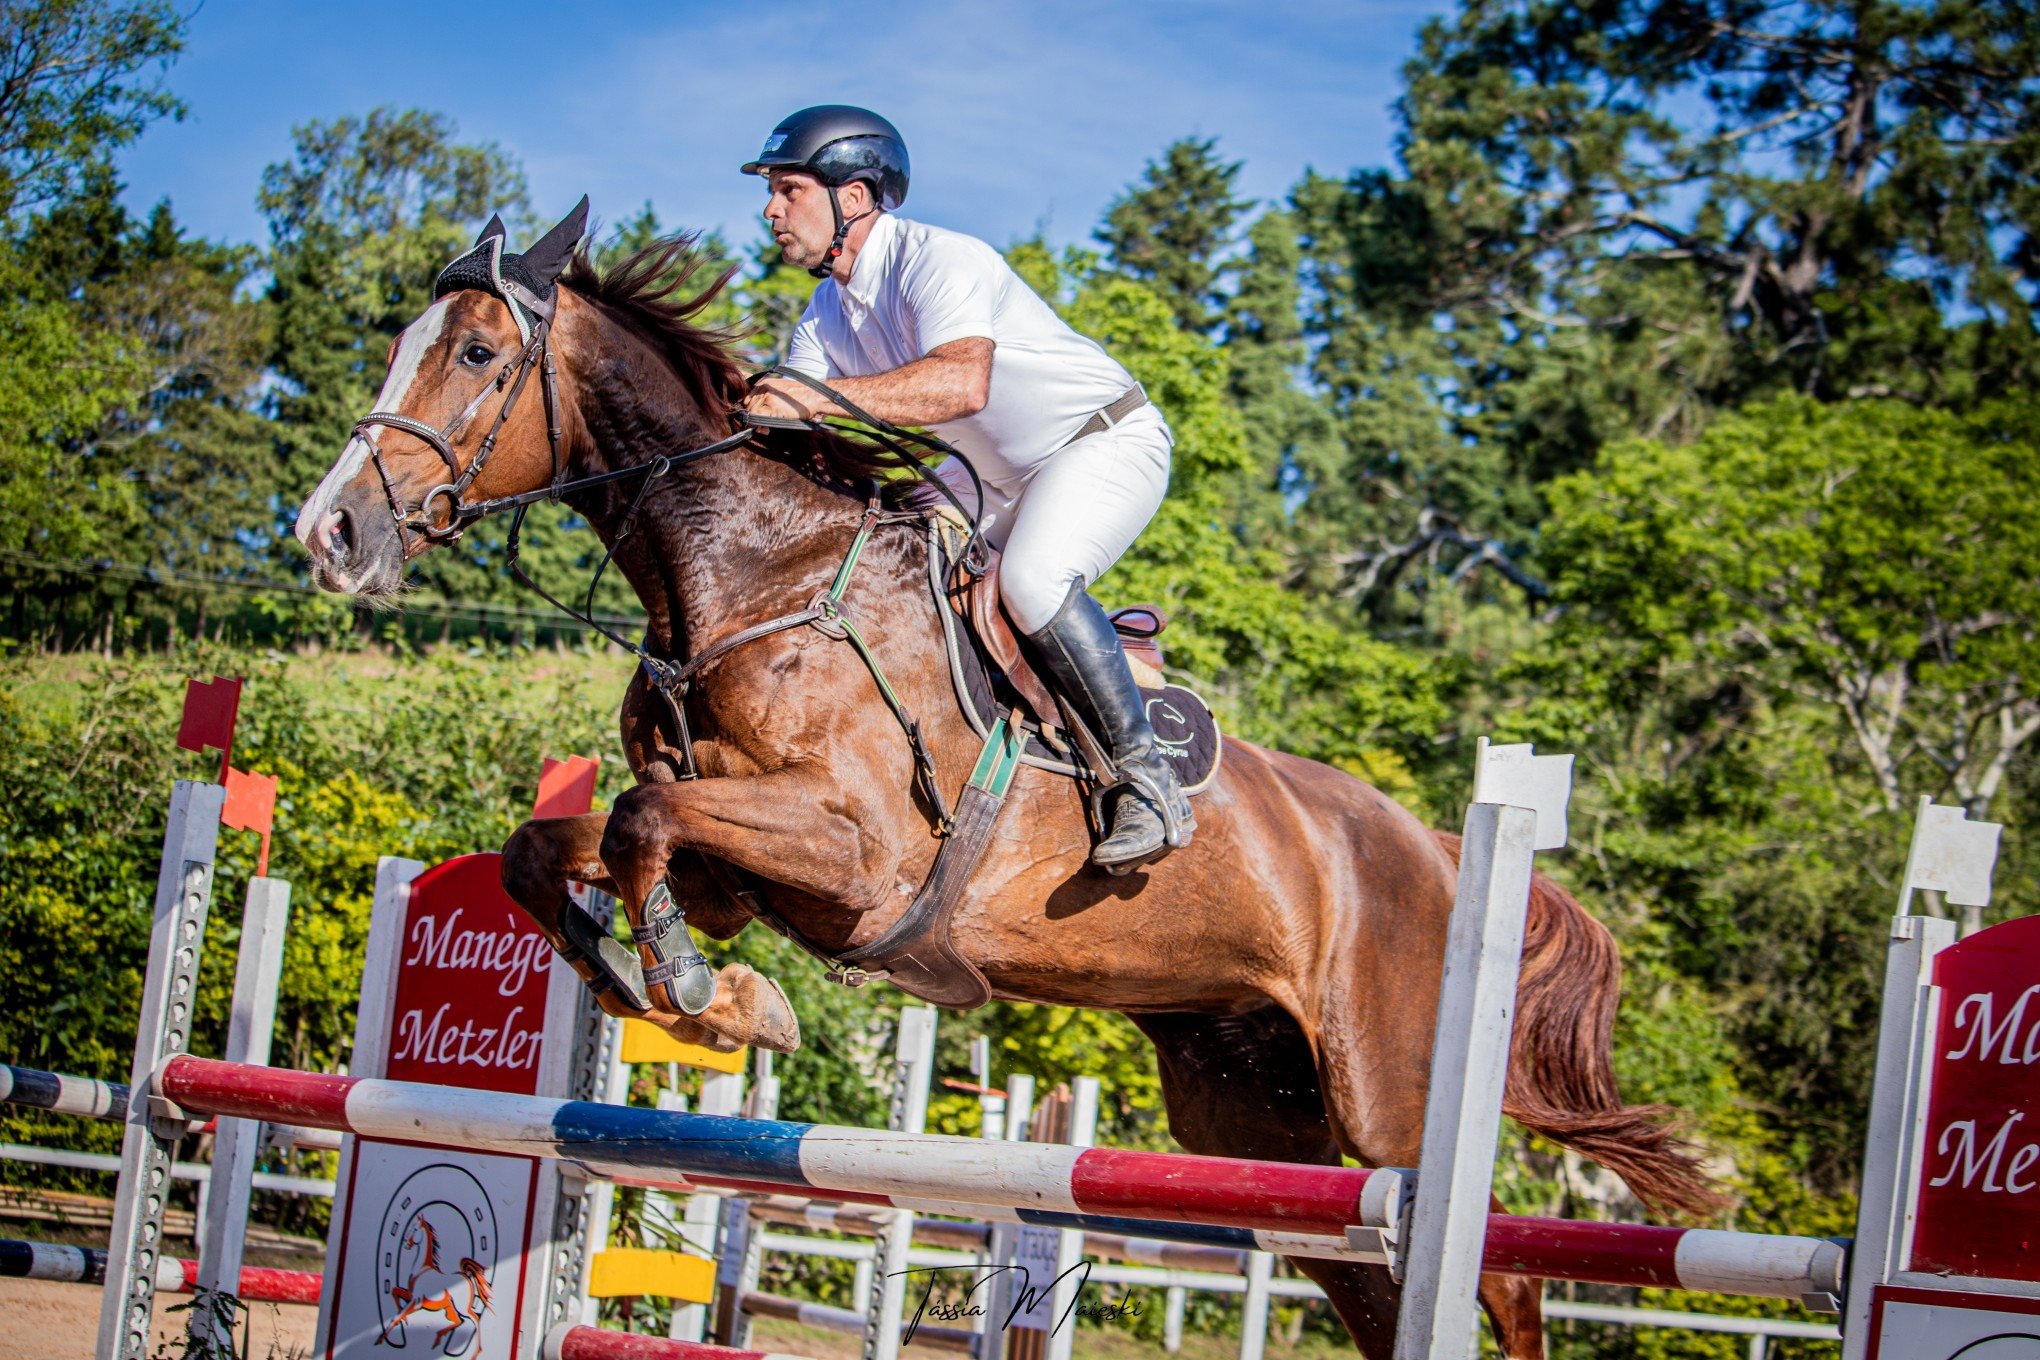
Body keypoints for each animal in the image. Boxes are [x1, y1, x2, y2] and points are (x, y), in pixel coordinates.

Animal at [377, 1215, 487, 1353]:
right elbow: (395, 1292)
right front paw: (403, 1319)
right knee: (458, 1320)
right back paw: (439, 1337)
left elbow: (397, 1316)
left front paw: (381, 1338)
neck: (422, 1269)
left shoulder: (417, 1302)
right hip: (450, 1308)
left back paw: (475, 1352)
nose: (406, 1244)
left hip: (461, 1307)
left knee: (474, 1318)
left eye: (414, 1229)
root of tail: (465, 1275)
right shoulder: (410, 1296)